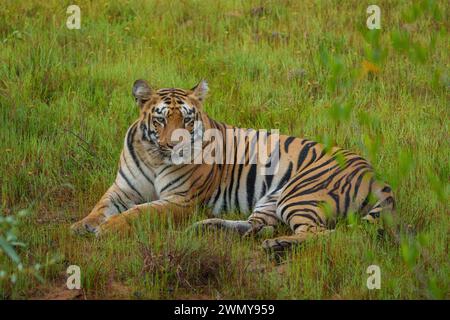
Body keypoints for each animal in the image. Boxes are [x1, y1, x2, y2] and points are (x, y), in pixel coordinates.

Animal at [68, 79, 396, 251]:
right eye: (160, 119)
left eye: (187, 119)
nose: (175, 146)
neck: (154, 156)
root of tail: (374, 174)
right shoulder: (123, 189)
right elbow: (101, 206)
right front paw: (81, 226)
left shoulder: (180, 199)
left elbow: (138, 213)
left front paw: (107, 230)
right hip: (271, 201)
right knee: (255, 227)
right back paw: (207, 228)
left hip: (299, 195)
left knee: (321, 236)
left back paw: (277, 246)